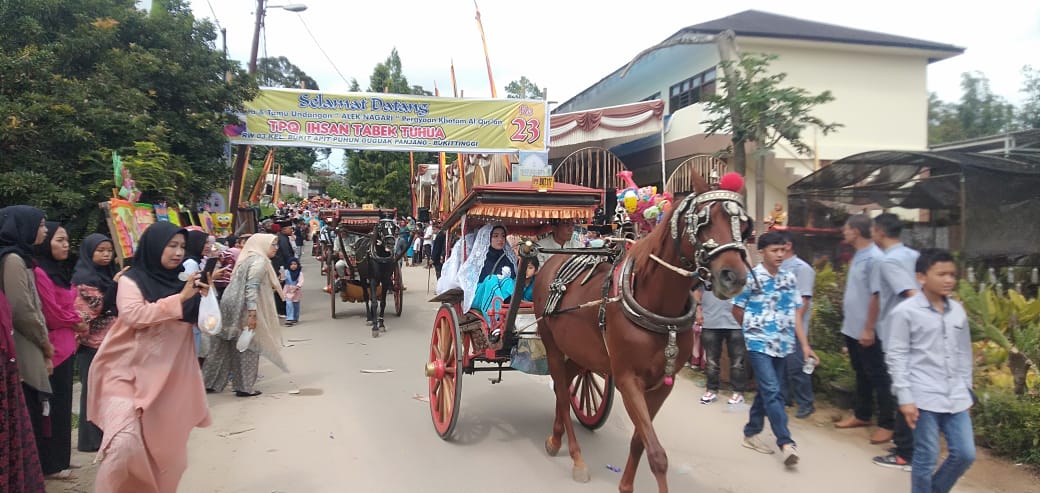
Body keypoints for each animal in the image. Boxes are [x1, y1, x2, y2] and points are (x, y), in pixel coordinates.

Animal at [536, 171, 748, 490]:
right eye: (703, 220)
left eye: (744, 225)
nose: (733, 276)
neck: (659, 308)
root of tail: (551, 261)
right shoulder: (627, 379)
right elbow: (657, 454)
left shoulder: (662, 384)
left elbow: (641, 442)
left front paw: (625, 486)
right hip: (550, 342)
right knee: (561, 389)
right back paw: (576, 457)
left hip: (586, 354)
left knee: (567, 385)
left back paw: (555, 437)